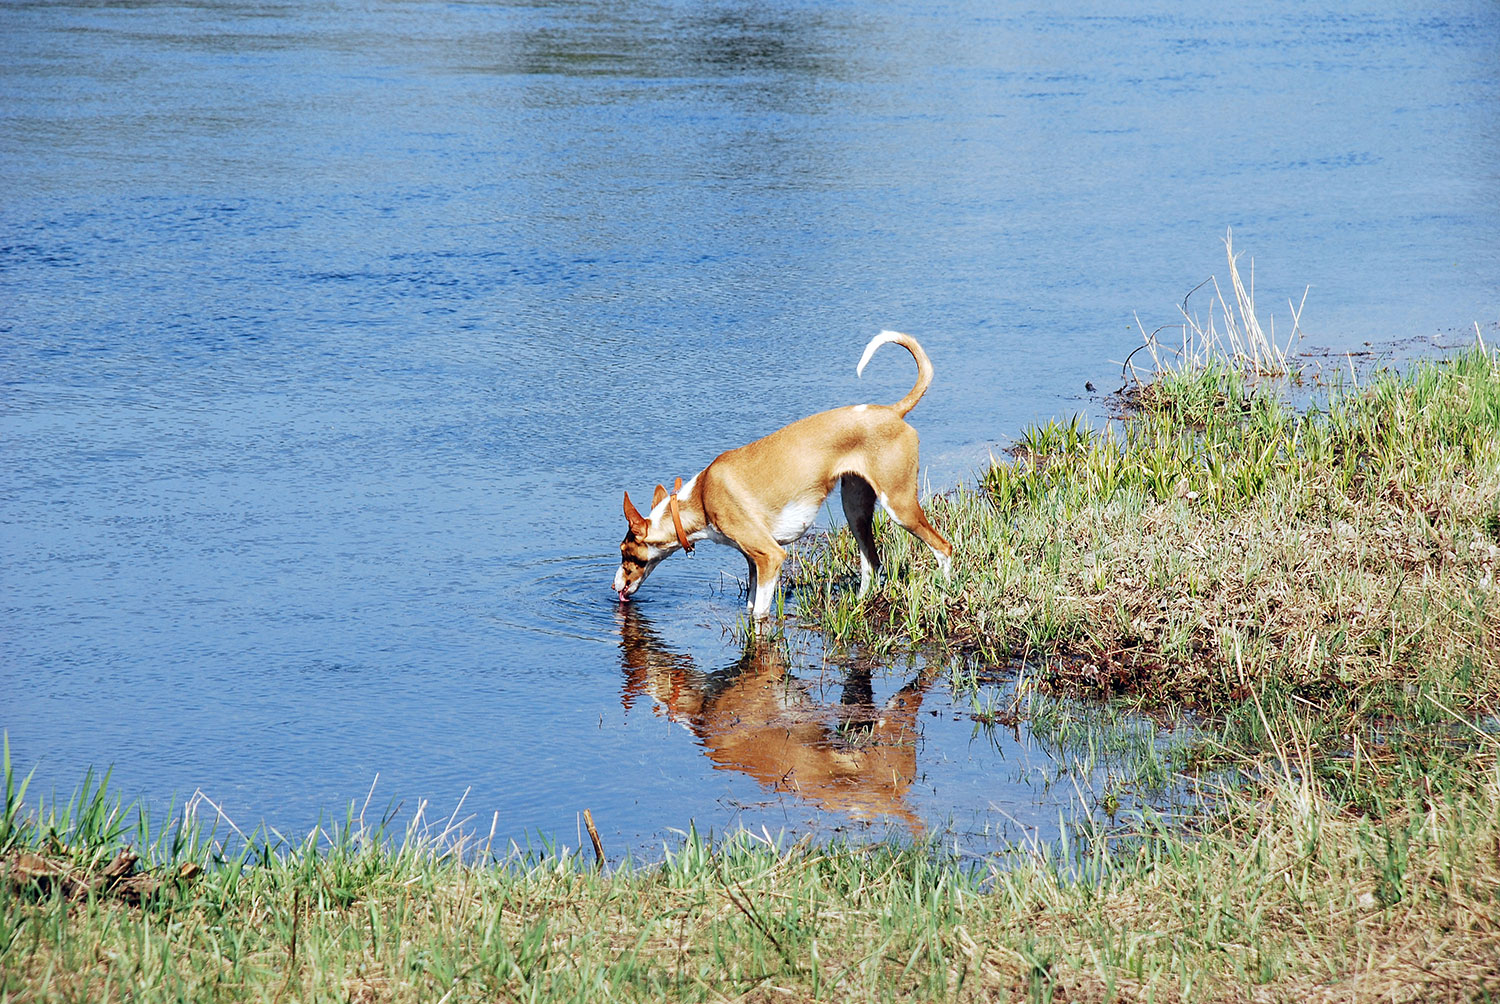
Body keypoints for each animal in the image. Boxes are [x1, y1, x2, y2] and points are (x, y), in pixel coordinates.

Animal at [615, 328, 954, 615]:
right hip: (855, 509)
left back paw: (946, 591)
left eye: (624, 552)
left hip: (899, 505)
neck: (700, 496)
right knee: (872, 563)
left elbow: (759, 615)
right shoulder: (753, 561)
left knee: (943, 547)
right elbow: (750, 605)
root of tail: (893, 411)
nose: (614, 585)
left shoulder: (770, 557)